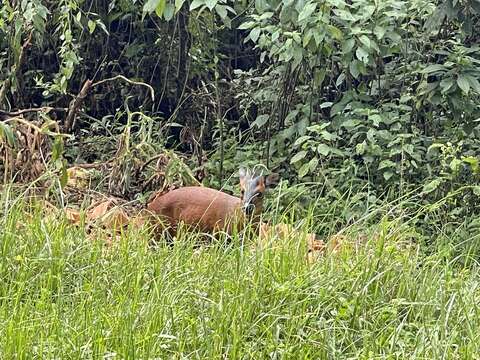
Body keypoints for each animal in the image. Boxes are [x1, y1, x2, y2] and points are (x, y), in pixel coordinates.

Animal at [148, 168, 280, 236]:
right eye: (242, 191)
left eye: (260, 193)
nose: (247, 208)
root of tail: (149, 207)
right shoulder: (219, 231)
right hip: (156, 230)